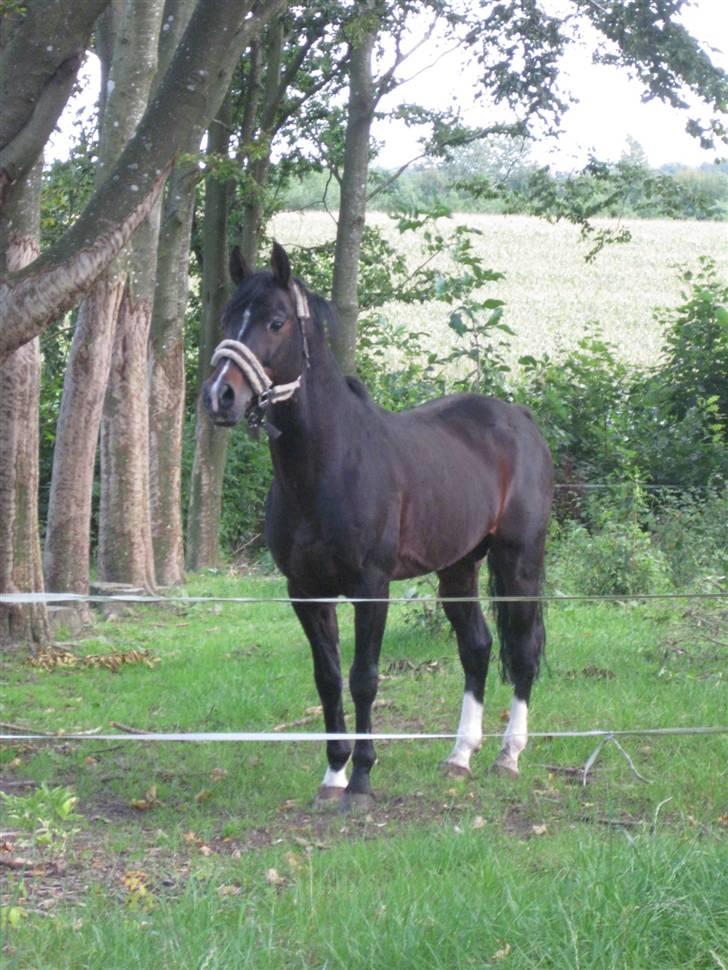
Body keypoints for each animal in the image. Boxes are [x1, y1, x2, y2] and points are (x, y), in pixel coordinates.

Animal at [202, 242, 553, 808]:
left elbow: (364, 677)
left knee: (522, 650)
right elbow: (327, 679)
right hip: (458, 568)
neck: (330, 466)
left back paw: (508, 756)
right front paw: (332, 776)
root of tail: (519, 417)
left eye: (277, 321)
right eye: (229, 318)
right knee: (477, 648)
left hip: (519, 560)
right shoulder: (305, 591)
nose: (219, 396)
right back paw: (459, 756)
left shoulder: (372, 588)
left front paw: (362, 780)